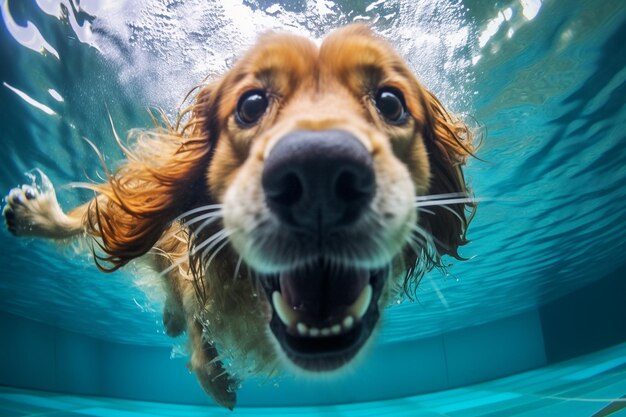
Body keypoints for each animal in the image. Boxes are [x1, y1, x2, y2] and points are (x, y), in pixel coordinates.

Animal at [2, 24, 476, 408]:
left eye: (390, 102)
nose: (319, 176)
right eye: (251, 105)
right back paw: (31, 215)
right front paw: (214, 378)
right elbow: (197, 324)